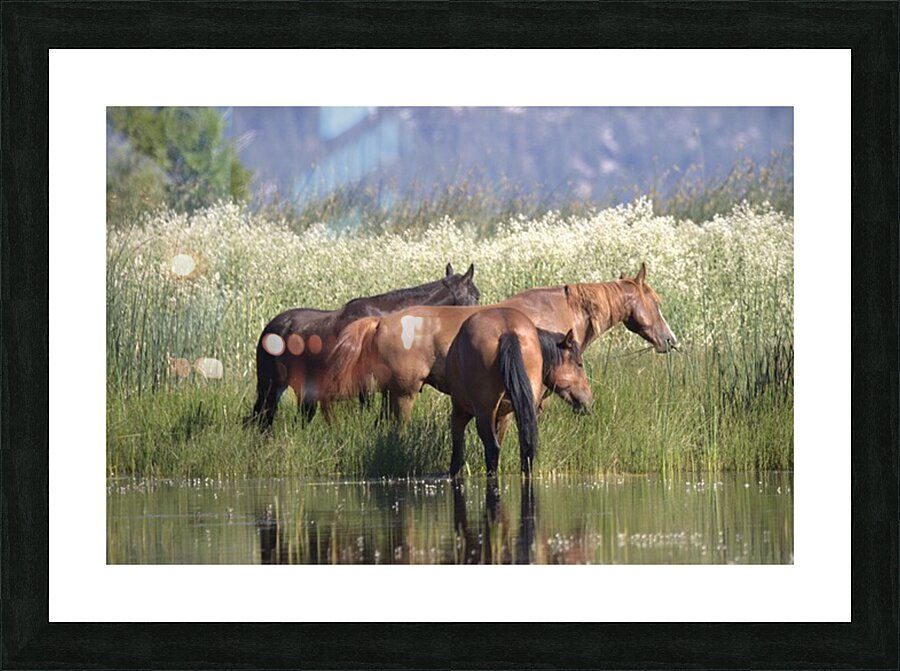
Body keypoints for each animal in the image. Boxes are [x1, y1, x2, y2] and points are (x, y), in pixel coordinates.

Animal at [445, 307, 593, 476]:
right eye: (579, 364)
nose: (589, 400)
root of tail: (508, 331)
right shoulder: (500, 415)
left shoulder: (461, 413)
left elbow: (457, 456)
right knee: (525, 448)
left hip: (484, 413)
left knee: (492, 449)